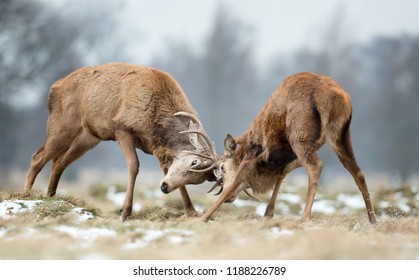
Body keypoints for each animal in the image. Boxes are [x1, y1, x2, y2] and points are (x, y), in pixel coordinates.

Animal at [24, 63, 218, 221]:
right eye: (194, 162)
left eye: (197, 180)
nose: (165, 187)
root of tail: (54, 88)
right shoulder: (121, 127)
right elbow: (134, 165)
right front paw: (125, 211)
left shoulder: (155, 146)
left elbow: (166, 169)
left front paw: (191, 211)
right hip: (62, 125)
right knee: (37, 156)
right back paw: (27, 196)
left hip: (88, 138)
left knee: (58, 163)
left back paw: (51, 198)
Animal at [205, 71, 378, 223]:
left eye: (222, 167)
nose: (229, 199)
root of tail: (337, 97)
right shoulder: (287, 157)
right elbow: (282, 174)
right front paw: (268, 212)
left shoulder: (255, 155)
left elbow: (238, 179)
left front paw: (204, 217)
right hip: (340, 136)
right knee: (358, 173)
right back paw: (373, 219)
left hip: (300, 135)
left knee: (316, 166)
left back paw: (305, 217)